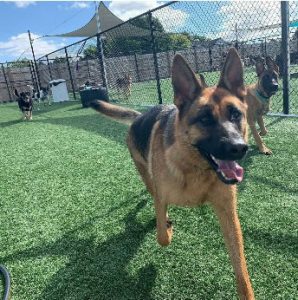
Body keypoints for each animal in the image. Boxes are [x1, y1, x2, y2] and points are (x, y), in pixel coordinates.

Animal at [90, 48, 254, 298]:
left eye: (236, 114)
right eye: (205, 119)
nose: (239, 148)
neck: (195, 168)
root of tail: (139, 117)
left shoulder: (228, 214)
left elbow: (241, 268)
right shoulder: (161, 198)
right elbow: (162, 237)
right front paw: (168, 229)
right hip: (148, 179)